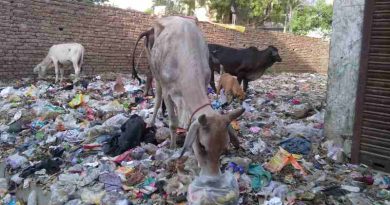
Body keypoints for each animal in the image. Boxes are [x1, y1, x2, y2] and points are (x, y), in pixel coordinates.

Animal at [138, 16, 244, 176]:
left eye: (223, 149)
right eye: (203, 146)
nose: (212, 174)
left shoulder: (204, 84)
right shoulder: (168, 91)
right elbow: (173, 122)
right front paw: (173, 146)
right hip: (154, 71)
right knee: (157, 96)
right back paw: (151, 121)